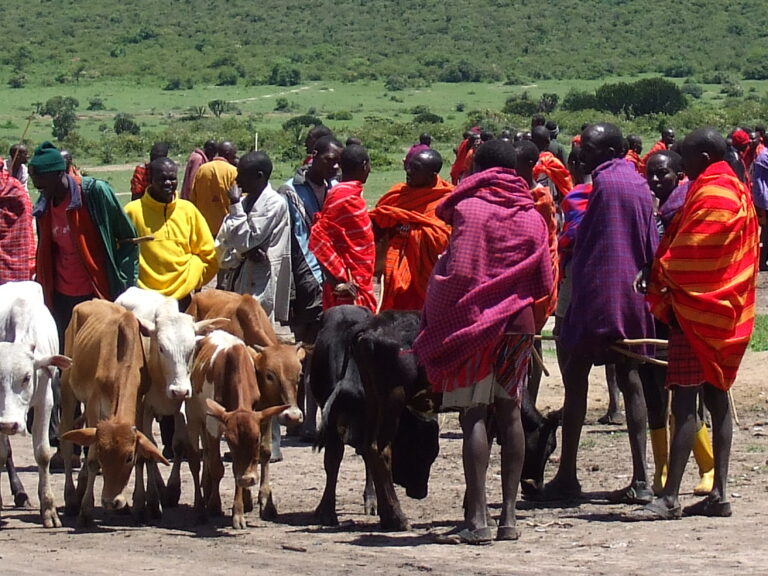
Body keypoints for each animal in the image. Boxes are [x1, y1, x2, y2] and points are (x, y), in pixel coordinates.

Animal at [0, 282, 71, 528]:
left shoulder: (45, 400)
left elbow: (42, 453)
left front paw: (49, 510)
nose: (8, 425)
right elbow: (2, 453)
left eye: (27, 377)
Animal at [59, 296, 168, 528]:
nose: (111, 501)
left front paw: (139, 507)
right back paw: (72, 498)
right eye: (102, 454)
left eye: (128, 457)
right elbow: (91, 459)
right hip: (67, 386)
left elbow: (143, 454)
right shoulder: (93, 403)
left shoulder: (139, 402)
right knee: (66, 441)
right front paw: (85, 511)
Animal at [188, 330, 290, 528]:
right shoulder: (214, 426)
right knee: (196, 460)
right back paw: (200, 507)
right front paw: (214, 505)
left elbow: (237, 469)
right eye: (229, 440)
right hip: (194, 418)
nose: (248, 479)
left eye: (257, 439)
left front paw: (238, 513)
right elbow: (218, 467)